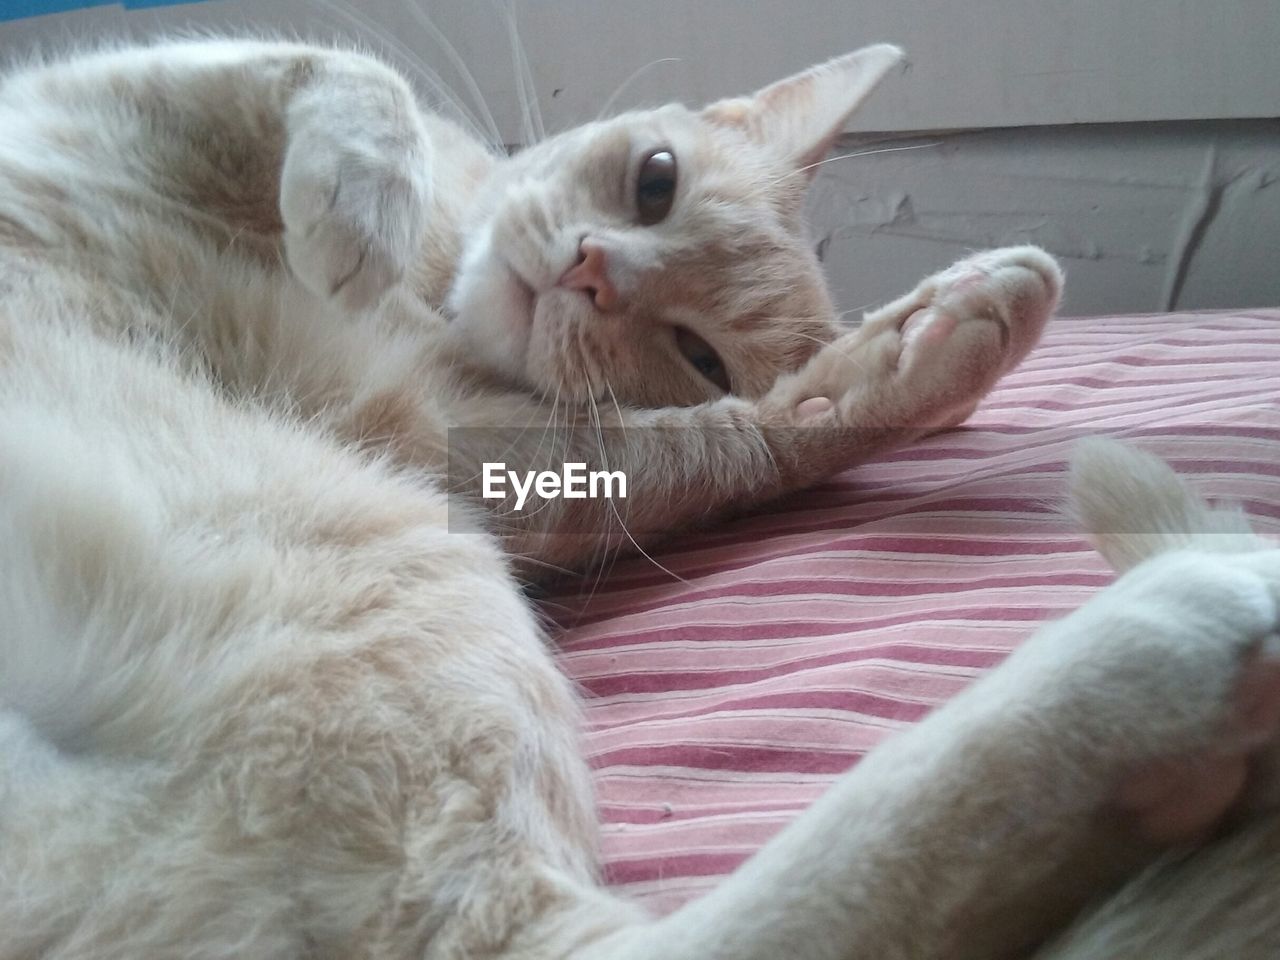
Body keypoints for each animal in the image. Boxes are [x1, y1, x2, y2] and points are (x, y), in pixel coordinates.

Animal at [0, 35, 1274, 960]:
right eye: (653, 183)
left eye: (696, 351)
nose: (590, 273)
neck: (433, 286)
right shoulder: (96, 102)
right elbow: (350, 73)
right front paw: (360, 204)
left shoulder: (478, 471)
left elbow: (733, 443)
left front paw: (919, 353)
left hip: (397, 572)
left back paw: (1179, 644)